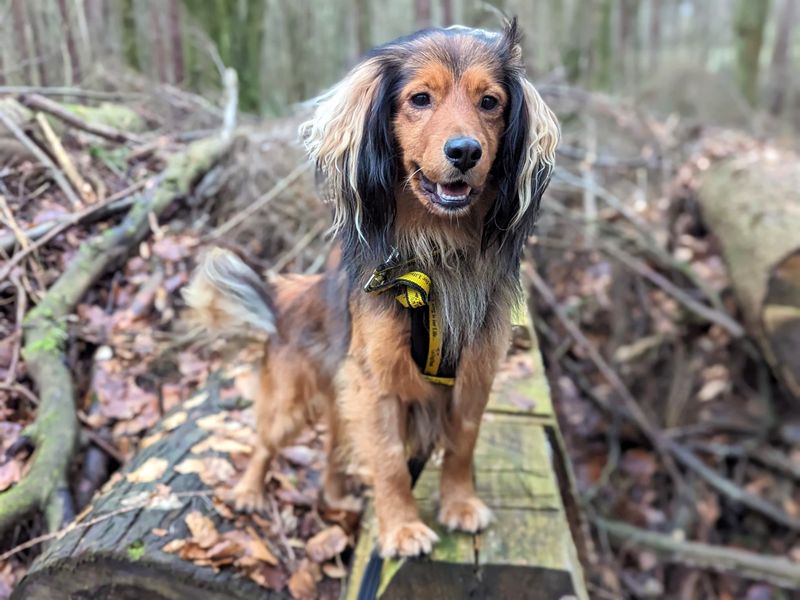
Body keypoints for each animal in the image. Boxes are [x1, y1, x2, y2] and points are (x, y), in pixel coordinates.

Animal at [185, 19, 560, 564]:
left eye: (490, 102)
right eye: (420, 98)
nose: (465, 151)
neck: (436, 257)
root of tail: (284, 306)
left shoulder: (474, 376)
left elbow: (463, 443)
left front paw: (459, 503)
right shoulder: (376, 382)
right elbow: (387, 460)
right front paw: (402, 527)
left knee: (331, 450)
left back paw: (336, 496)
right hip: (292, 403)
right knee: (266, 443)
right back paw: (249, 492)